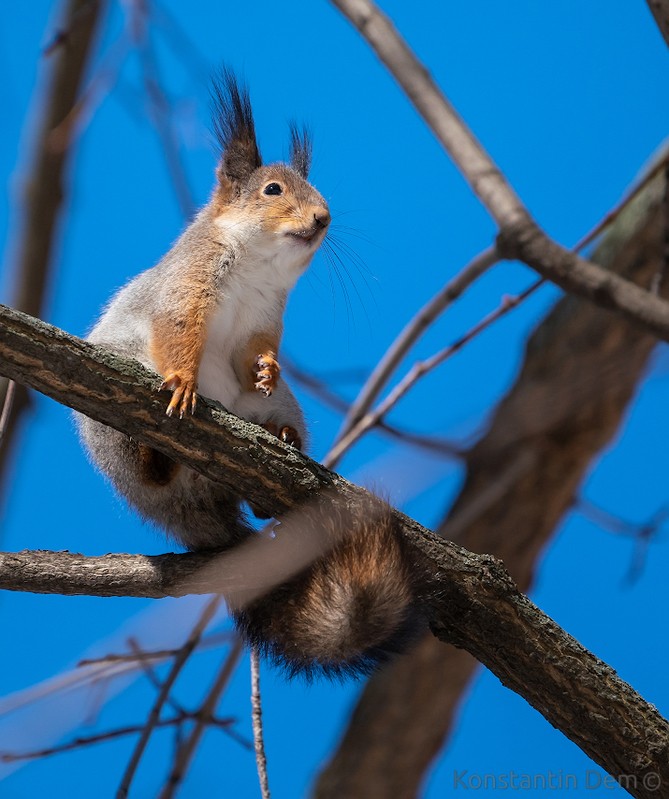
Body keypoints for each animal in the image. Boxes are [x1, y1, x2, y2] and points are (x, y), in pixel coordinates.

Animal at [75, 70, 420, 676]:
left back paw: (280, 442)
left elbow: (254, 352)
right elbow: (179, 332)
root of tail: (197, 511)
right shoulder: (185, 288)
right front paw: (184, 382)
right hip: (114, 437)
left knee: (261, 473)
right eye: (273, 191)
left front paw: (264, 368)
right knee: (151, 474)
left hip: (280, 407)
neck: (258, 266)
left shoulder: (266, 319)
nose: (323, 219)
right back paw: (152, 454)